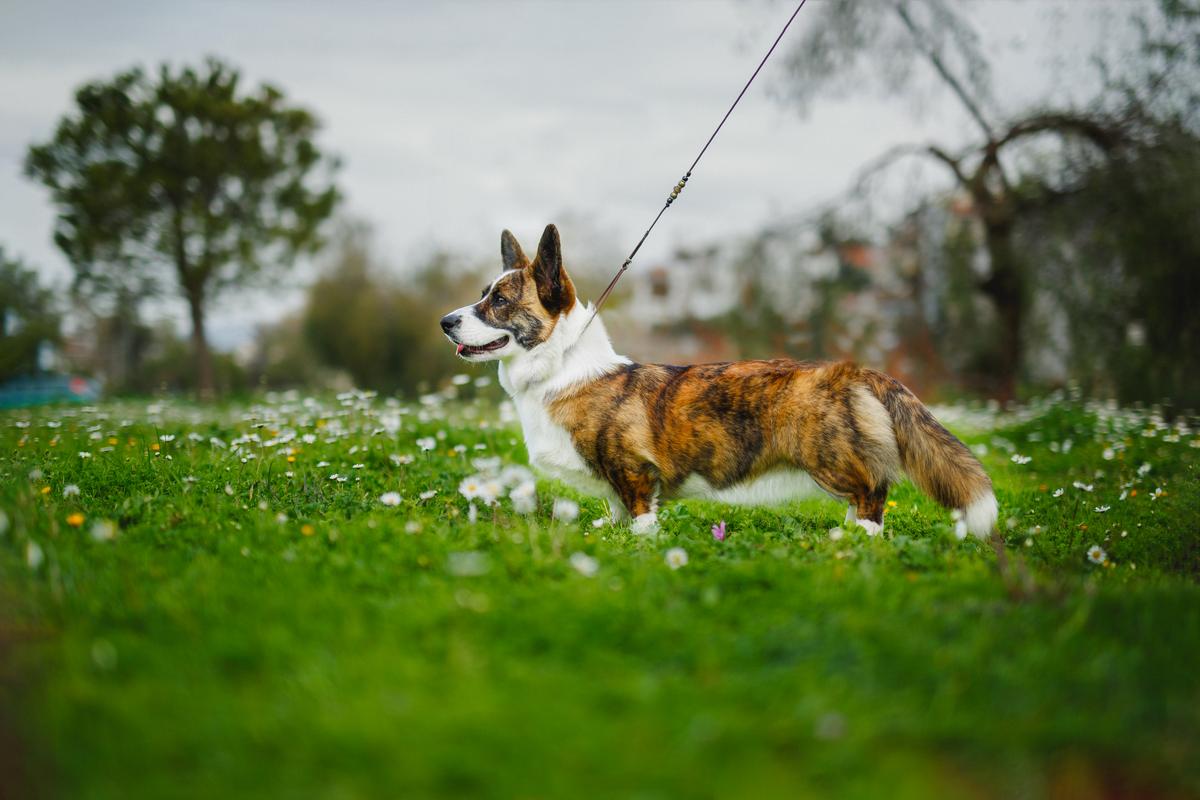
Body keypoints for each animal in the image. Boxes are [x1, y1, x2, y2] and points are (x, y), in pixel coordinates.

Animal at [439, 224, 993, 537]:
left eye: (500, 302)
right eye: (483, 293)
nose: (445, 322)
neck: (561, 365)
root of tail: (859, 371)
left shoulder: (634, 472)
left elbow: (638, 513)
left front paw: (641, 545)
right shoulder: (618, 482)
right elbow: (616, 511)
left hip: (831, 459)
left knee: (873, 495)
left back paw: (860, 541)